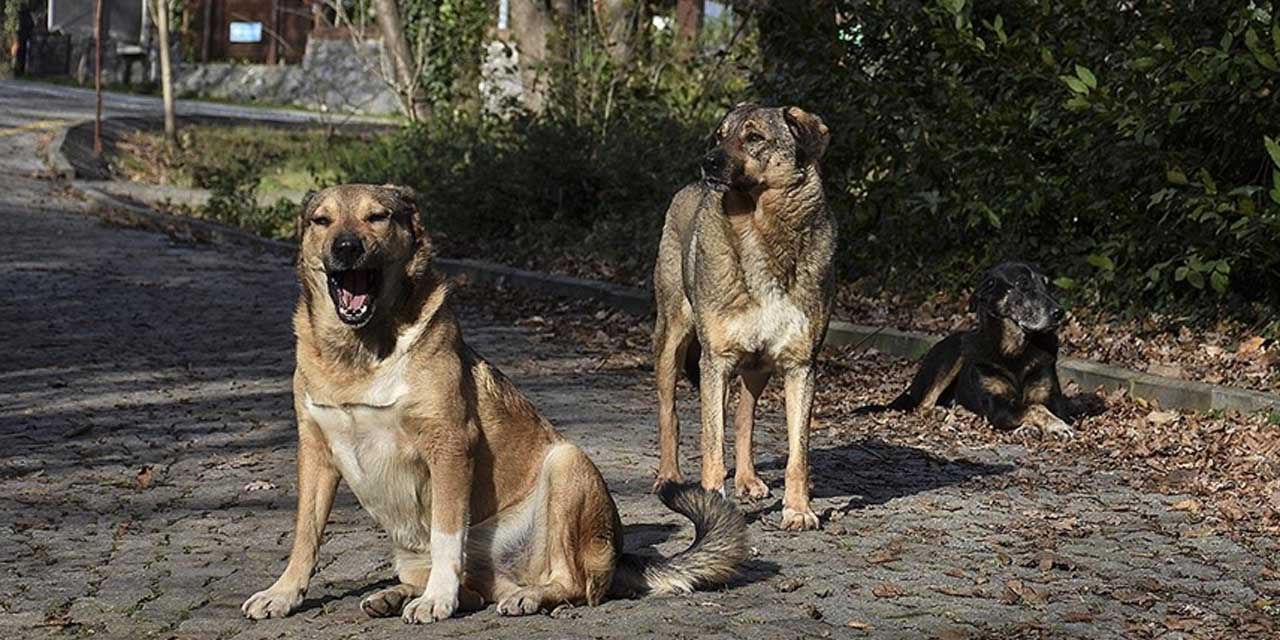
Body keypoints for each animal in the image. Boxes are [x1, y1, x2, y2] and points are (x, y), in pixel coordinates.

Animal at [240, 183, 747, 622]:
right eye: (321, 221)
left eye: (377, 216)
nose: (345, 247)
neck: (360, 354)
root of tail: (620, 554)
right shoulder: (315, 451)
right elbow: (305, 534)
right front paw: (283, 593)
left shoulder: (449, 445)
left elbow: (447, 535)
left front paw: (436, 600)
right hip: (412, 550)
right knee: (474, 589)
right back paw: (397, 594)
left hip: (567, 464)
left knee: (573, 584)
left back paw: (524, 596)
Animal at [650, 104, 839, 529]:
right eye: (719, 135)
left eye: (754, 137)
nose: (707, 162)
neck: (760, 230)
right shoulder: (715, 362)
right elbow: (711, 444)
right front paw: (711, 504)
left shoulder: (801, 366)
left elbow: (797, 454)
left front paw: (798, 509)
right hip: (672, 342)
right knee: (671, 414)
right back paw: (669, 477)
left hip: (758, 367)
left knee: (744, 417)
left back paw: (748, 480)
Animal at [860, 262, 1100, 437]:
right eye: (1023, 285)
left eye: (1047, 285)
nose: (1059, 313)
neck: (1015, 349)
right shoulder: (997, 406)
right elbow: (1033, 409)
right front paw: (1051, 426)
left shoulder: (1053, 400)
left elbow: (1039, 407)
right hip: (954, 354)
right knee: (923, 404)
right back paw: (941, 412)